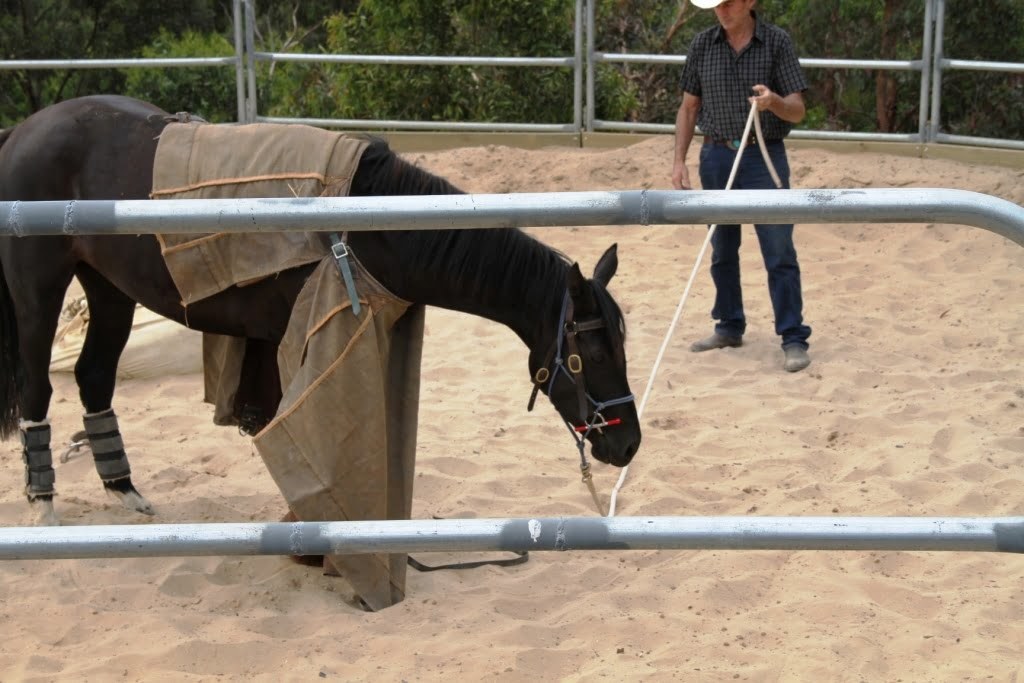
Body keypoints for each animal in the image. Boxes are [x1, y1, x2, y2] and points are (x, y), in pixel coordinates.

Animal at [0, 95, 641, 526]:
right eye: (590, 351)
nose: (628, 444)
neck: (365, 223)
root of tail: (22, 132)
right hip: (38, 293)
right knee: (38, 389)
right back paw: (44, 508)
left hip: (109, 290)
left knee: (93, 377)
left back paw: (125, 493)